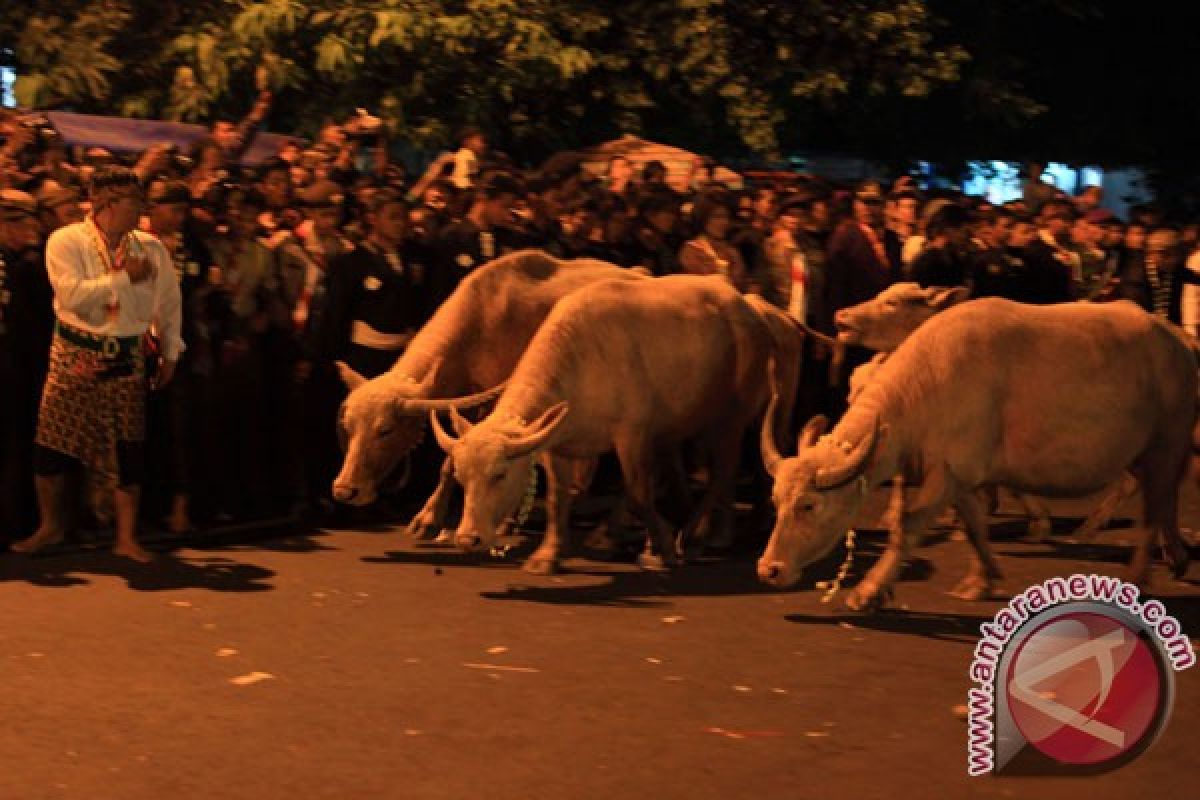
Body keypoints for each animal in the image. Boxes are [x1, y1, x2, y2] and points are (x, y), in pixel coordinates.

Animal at [432, 277, 806, 575]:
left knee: (725, 472)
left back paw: (693, 535)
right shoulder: (558, 445)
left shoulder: (633, 435)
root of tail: (754, 312)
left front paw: (663, 546)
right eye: (461, 477)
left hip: (730, 419)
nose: (467, 538)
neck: (581, 366)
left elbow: (640, 494)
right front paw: (549, 555)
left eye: (499, 475)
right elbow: (557, 498)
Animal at [763, 297, 1195, 609]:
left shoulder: (949, 476)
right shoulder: (961, 478)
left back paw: (1137, 575)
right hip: (1146, 454)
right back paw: (1176, 555)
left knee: (1154, 507)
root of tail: (1177, 339)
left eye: (808, 506)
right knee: (1163, 499)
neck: (928, 384)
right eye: (776, 502)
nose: (769, 570)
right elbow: (973, 526)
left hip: (1166, 444)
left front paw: (869, 590)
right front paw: (981, 579)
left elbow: (908, 525)